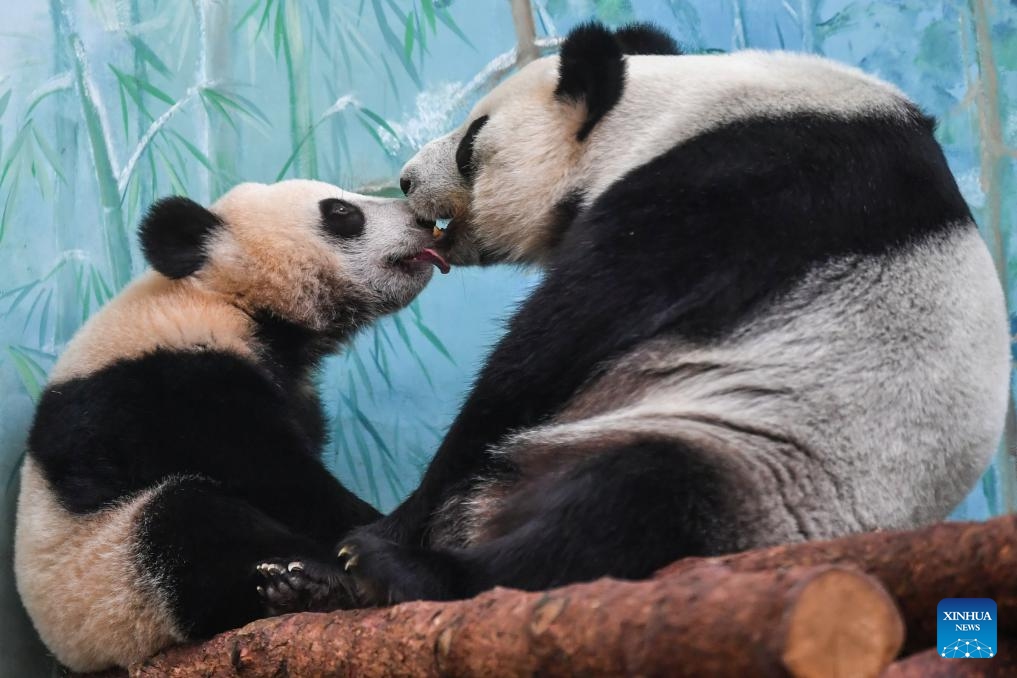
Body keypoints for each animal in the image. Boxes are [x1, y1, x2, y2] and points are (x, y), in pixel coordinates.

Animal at [12, 177, 449, 670]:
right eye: (341, 212)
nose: (426, 220)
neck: (223, 296)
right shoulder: (169, 382)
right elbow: (275, 476)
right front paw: (378, 536)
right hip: (107, 581)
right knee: (185, 524)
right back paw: (313, 586)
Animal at [280, 22, 1008, 605]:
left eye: (471, 141)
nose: (406, 180)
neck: (666, 111)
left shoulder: (732, 189)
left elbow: (545, 354)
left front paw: (372, 534)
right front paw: (329, 561)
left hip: (763, 463)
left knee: (628, 506)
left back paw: (406, 570)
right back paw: (311, 586)